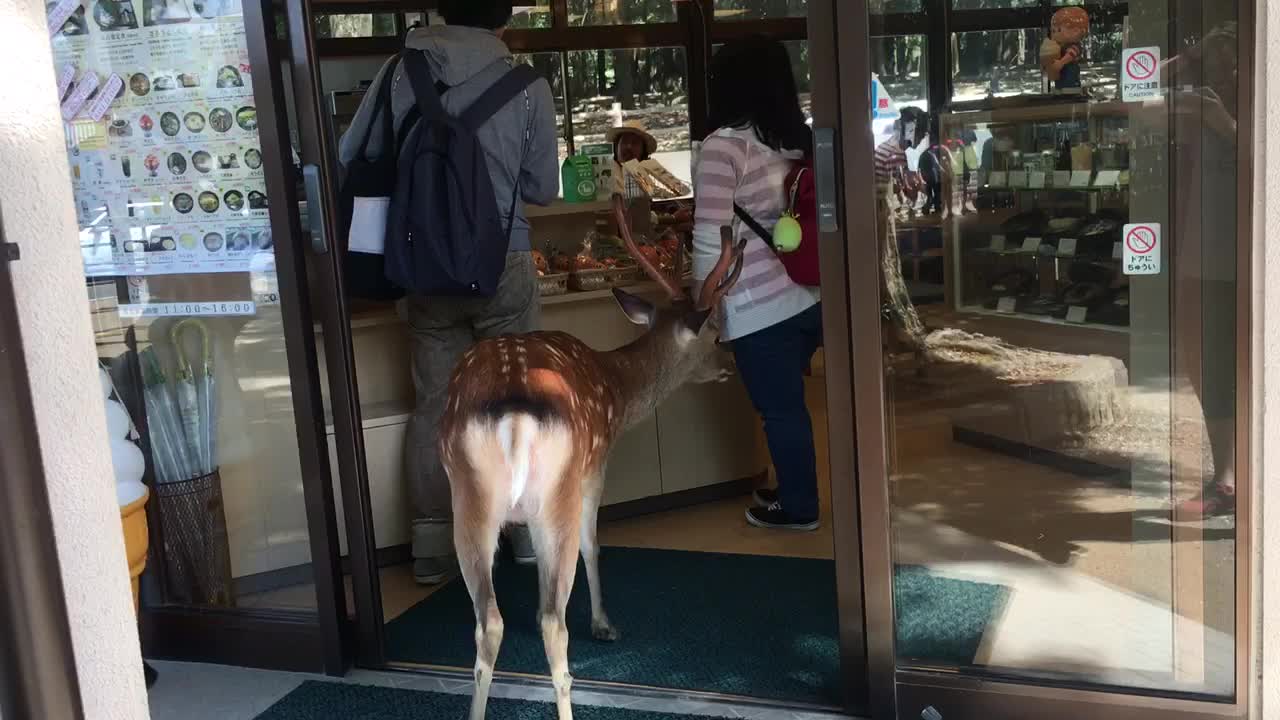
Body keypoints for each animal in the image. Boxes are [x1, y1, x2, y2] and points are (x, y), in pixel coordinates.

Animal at [440, 193, 747, 712]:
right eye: (717, 335)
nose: (731, 365)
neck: (617, 390)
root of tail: (514, 411)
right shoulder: (596, 468)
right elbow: (594, 544)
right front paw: (604, 623)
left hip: (469, 499)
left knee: (489, 622)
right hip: (557, 493)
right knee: (553, 621)